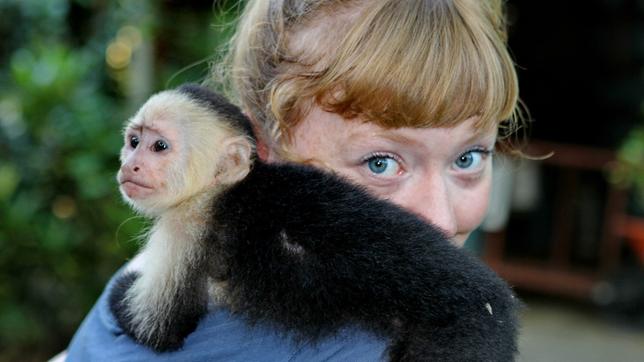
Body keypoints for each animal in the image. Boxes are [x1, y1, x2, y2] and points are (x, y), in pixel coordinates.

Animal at [108, 83, 520, 360]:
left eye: (159, 147)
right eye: (133, 141)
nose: (131, 166)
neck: (226, 189)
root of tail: (494, 300)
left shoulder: (188, 225)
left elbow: (158, 328)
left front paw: (126, 283)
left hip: (465, 335)